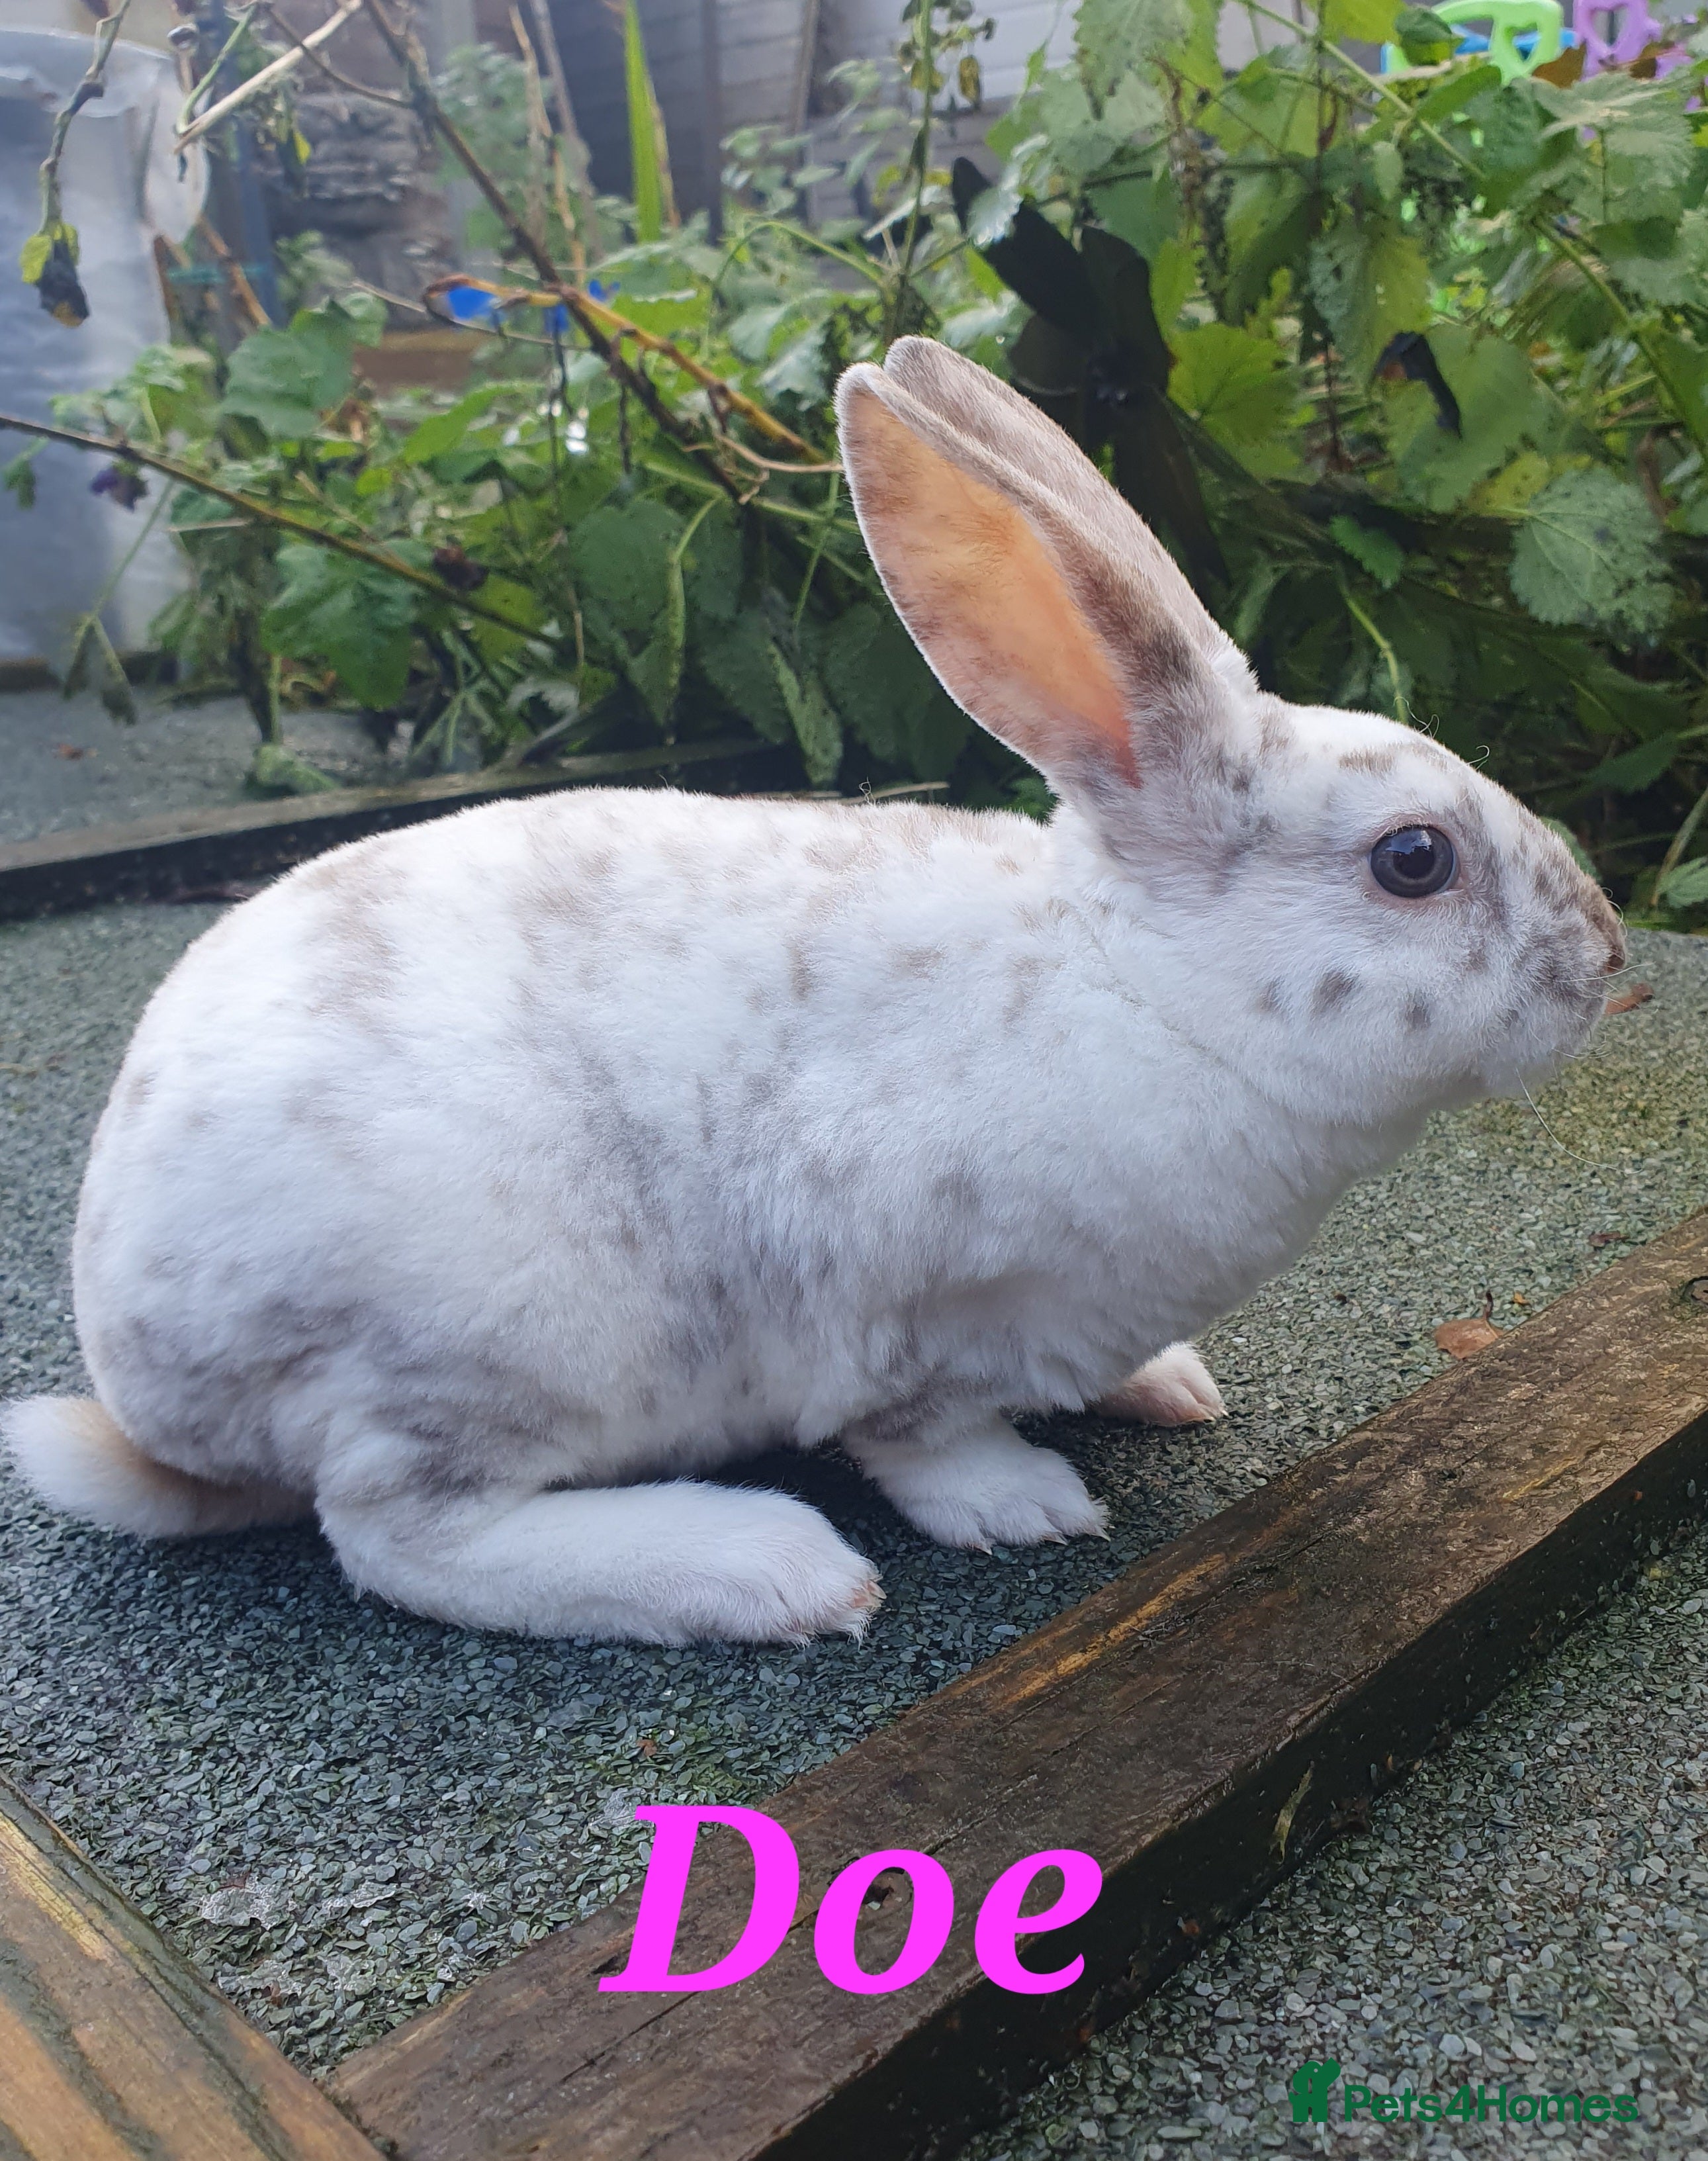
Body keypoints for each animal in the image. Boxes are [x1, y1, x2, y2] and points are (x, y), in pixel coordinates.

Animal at [3, 336, 1624, 1645]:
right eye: (1412, 860)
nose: (1610, 964)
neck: (1145, 994)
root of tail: (138, 1365)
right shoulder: (912, 1309)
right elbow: (925, 1439)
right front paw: (1028, 1505)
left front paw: (1168, 1386)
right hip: (498, 1338)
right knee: (402, 1535)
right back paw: (771, 1573)